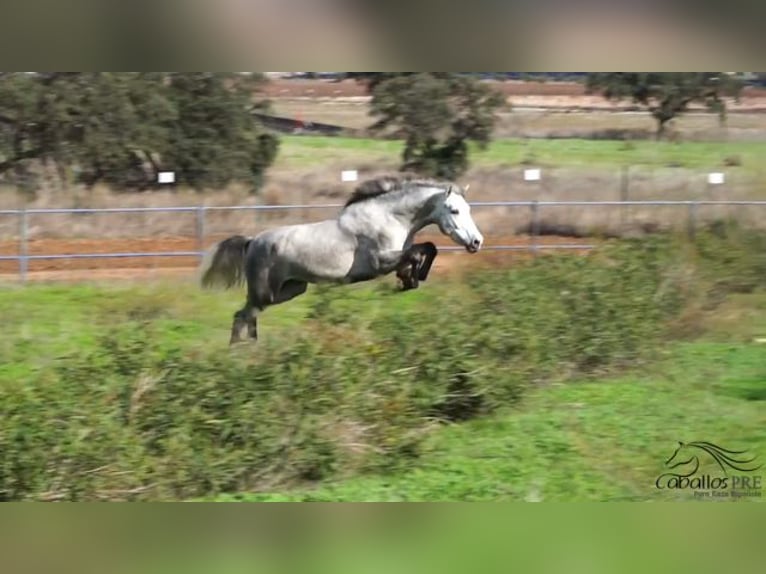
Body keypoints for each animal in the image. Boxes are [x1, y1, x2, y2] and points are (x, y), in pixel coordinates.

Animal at [201, 176, 484, 344]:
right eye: (454, 210)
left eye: (469, 209)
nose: (476, 242)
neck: (390, 217)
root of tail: (252, 241)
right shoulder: (380, 262)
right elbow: (420, 251)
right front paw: (410, 281)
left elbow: (426, 249)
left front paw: (409, 279)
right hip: (265, 294)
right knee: (242, 316)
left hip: (291, 290)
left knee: (247, 317)